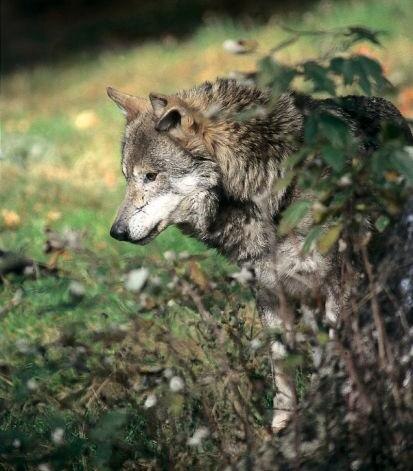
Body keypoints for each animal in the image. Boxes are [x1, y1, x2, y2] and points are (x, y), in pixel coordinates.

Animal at [107, 79, 412, 434]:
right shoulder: (269, 293)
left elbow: (339, 351)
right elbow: (281, 368)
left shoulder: (340, 285)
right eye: (127, 177)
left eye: (151, 176)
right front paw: (283, 424)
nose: (116, 232)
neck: (270, 194)